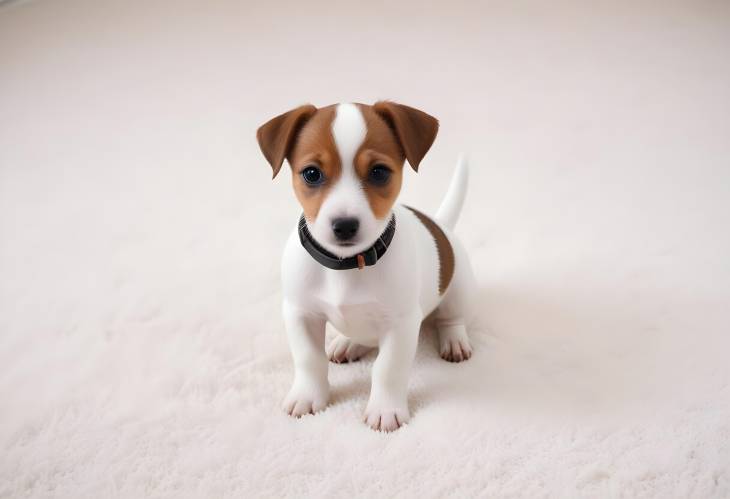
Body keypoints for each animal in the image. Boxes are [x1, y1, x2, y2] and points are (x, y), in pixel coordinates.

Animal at [258, 99, 478, 432]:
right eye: (311, 174)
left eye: (379, 172)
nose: (345, 225)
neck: (346, 266)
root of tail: (441, 226)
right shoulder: (300, 313)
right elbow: (309, 359)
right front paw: (308, 395)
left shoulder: (402, 323)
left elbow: (387, 369)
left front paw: (385, 409)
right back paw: (347, 343)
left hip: (459, 287)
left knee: (451, 318)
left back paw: (454, 340)